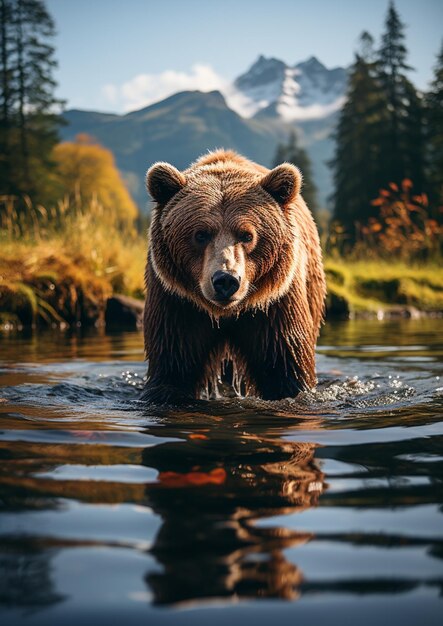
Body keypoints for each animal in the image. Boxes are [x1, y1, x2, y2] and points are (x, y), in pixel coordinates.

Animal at [142, 151, 326, 404]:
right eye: (200, 234)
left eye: (247, 235)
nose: (226, 280)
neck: (227, 314)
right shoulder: (178, 304)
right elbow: (173, 365)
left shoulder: (275, 307)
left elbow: (285, 366)